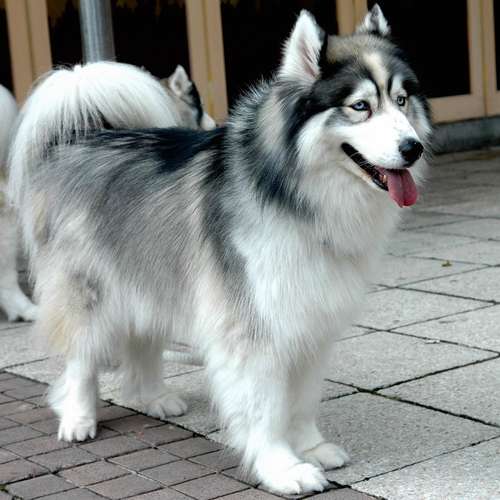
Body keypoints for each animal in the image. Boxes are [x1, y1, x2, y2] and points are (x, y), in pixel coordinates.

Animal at [9, 5, 431, 494]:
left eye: (401, 100)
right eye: (360, 106)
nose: (413, 148)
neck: (295, 194)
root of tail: (82, 136)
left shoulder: (311, 320)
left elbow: (303, 398)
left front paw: (310, 446)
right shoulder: (253, 326)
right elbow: (266, 408)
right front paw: (282, 467)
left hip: (149, 278)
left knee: (141, 340)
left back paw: (152, 396)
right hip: (88, 290)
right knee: (81, 355)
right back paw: (78, 417)